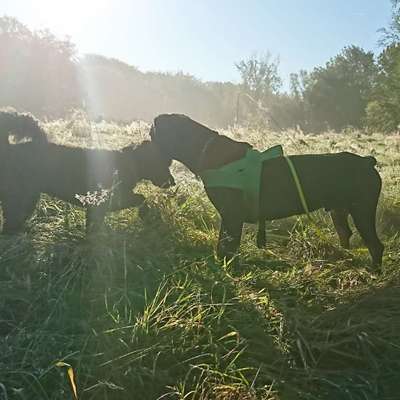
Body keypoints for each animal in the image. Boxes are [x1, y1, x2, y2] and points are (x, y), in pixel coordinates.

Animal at [0, 110, 175, 234]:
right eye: (162, 163)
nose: (173, 182)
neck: (127, 161)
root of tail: (7, 150)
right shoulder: (106, 200)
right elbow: (141, 198)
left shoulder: (98, 205)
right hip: (19, 196)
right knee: (11, 221)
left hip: (27, 196)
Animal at [150, 114, 384, 268]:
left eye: (153, 134)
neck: (205, 150)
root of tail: (367, 162)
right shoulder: (228, 217)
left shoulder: (232, 217)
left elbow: (227, 247)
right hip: (339, 211)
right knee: (346, 233)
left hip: (362, 210)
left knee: (375, 245)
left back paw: (374, 271)